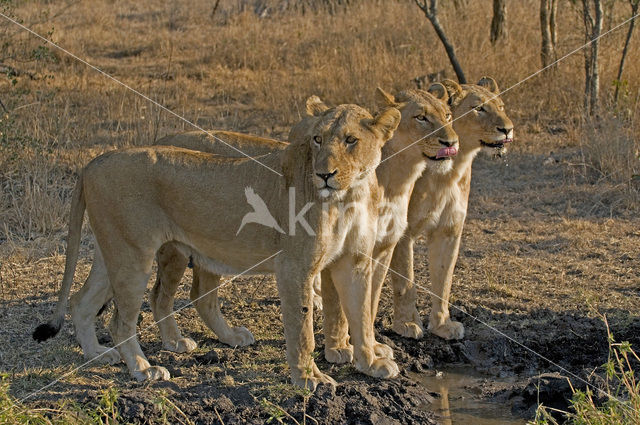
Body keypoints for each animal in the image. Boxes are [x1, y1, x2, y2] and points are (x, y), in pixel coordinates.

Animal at [32, 98, 402, 388]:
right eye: (317, 139)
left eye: (351, 140)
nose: (324, 174)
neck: (349, 195)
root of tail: (92, 163)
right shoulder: (294, 268)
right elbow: (303, 330)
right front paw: (309, 378)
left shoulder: (353, 263)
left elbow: (362, 316)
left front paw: (370, 363)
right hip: (132, 256)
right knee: (121, 320)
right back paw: (143, 369)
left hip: (113, 251)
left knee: (81, 301)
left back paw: (98, 354)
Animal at [384, 77, 516, 342]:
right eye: (479, 108)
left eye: (501, 106)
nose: (508, 129)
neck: (449, 173)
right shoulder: (403, 233)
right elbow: (406, 281)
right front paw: (407, 323)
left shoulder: (449, 230)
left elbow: (444, 280)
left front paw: (442, 325)